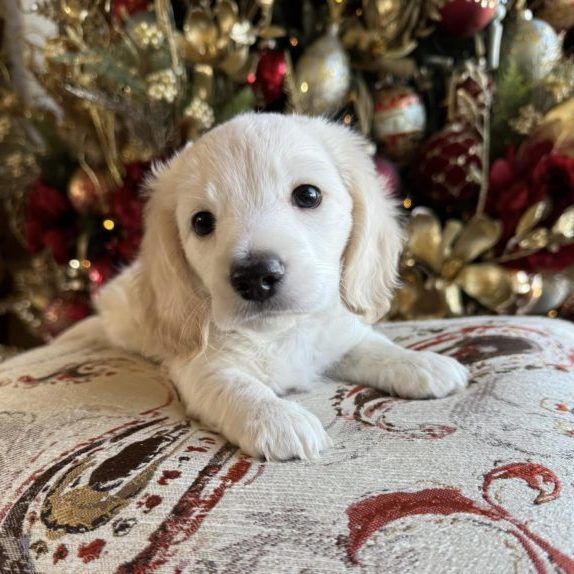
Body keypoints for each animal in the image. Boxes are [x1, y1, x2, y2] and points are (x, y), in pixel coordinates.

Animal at [95, 113, 472, 464]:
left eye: (308, 195)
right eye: (201, 222)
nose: (255, 276)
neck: (283, 331)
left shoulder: (336, 334)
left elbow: (372, 344)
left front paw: (419, 362)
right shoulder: (201, 367)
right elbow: (236, 386)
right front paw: (277, 418)